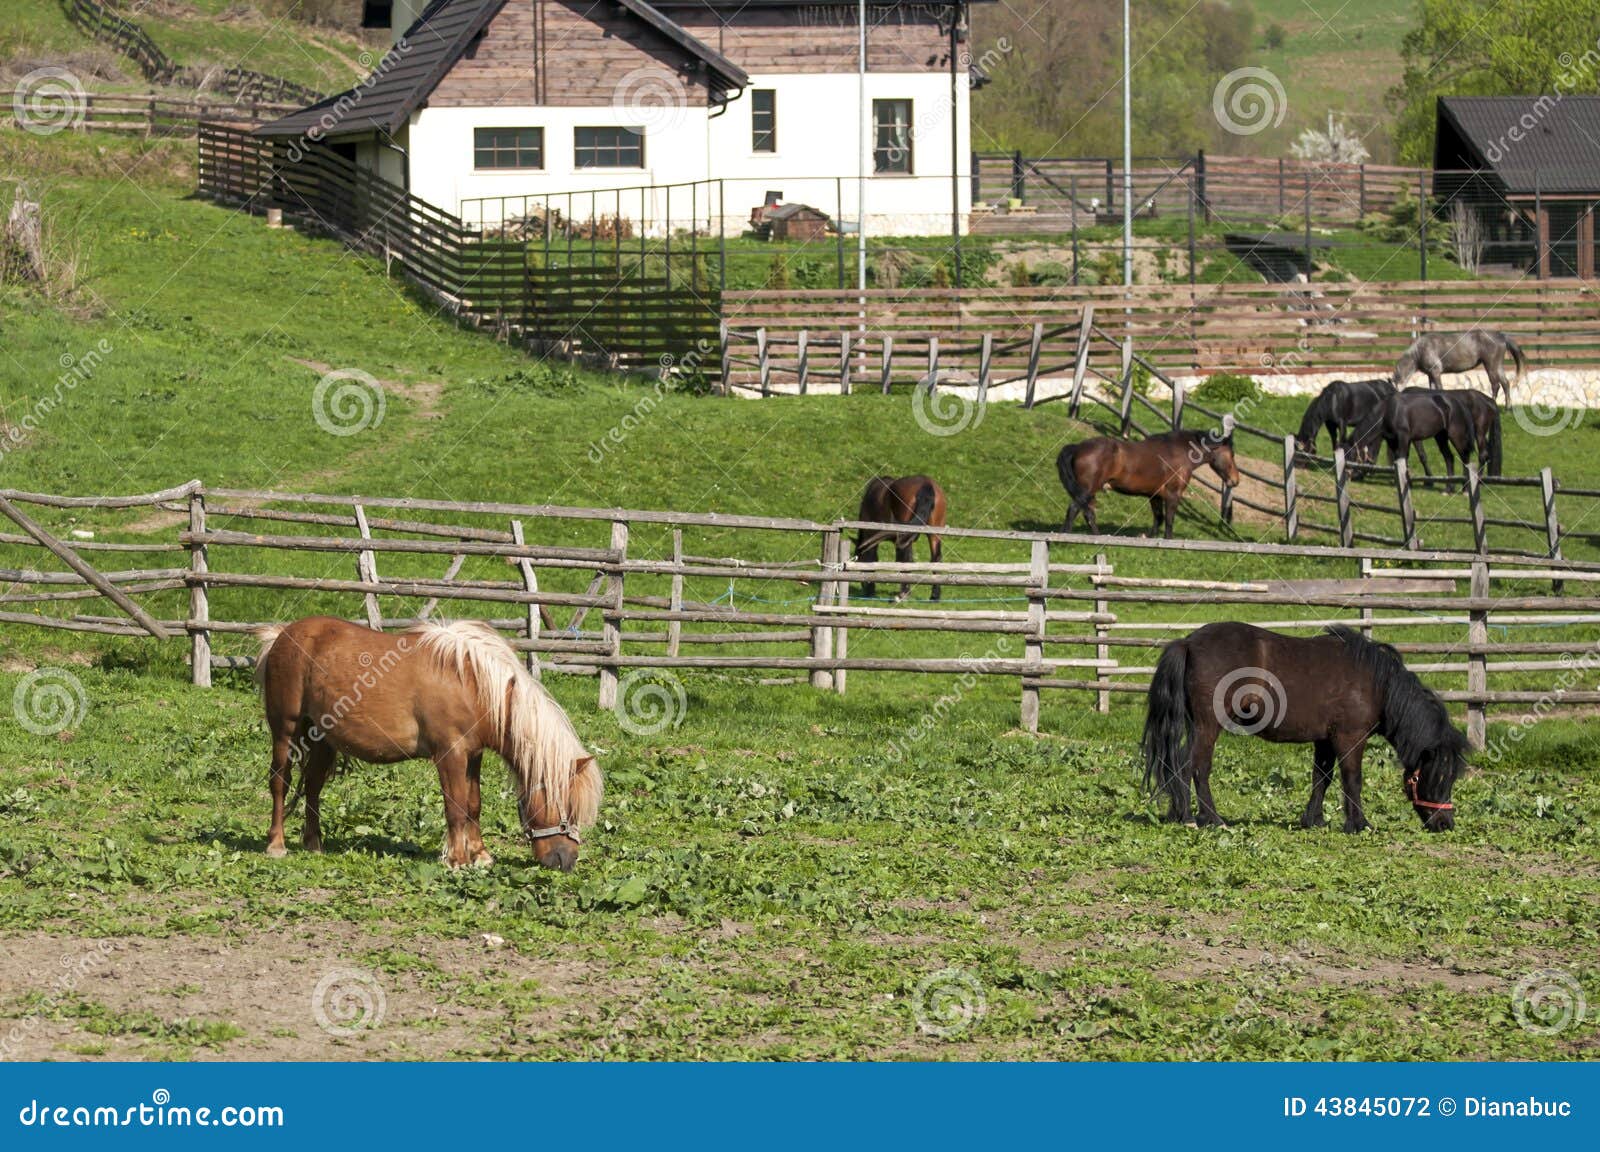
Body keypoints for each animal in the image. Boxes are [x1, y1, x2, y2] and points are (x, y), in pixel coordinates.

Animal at [255, 617, 603, 871]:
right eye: (566, 807)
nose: (566, 861)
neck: (474, 684)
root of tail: (282, 635)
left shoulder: (473, 755)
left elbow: (473, 804)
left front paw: (480, 856)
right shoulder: (450, 754)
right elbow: (456, 807)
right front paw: (457, 860)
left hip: (323, 739)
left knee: (313, 787)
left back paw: (314, 844)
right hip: (285, 732)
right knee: (280, 783)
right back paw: (276, 845)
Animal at [1057, 428, 1240, 539]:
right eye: (1231, 454)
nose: (1235, 480)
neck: (1179, 453)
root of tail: (1077, 448)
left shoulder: (1155, 496)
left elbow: (1158, 519)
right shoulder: (1173, 495)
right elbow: (1169, 520)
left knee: (1085, 513)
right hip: (1087, 490)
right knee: (1075, 510)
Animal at [1141, 622, 1467, 833]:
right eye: (1440, 777)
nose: (1446, 824)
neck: (1377, 684)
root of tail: (1188, 643)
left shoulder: (1325, 740)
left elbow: (1321, 778)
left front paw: (1314, 820)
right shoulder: (1350, 738)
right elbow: (1352, 779)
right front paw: (1359, 824)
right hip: (1209, 725)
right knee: (1195, 766)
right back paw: (1206, 818)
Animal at [1393, 330, 1526, 405]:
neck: (1420, 350)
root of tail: (1502, 337)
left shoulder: (1436, 372)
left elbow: (1439, 388)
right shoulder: (1431, 374)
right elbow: (1432, 389)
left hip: (1491, 365)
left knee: (1496, 385)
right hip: (1496, 366)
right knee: (1504, 384)